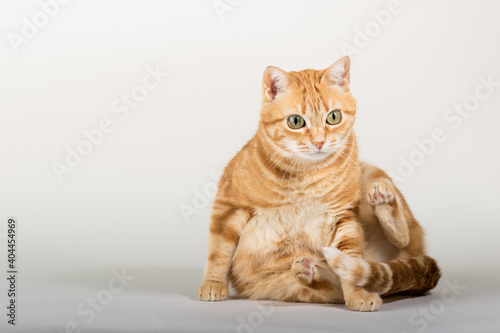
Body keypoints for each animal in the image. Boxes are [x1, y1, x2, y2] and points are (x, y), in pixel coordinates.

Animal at [197, 55, 440, 310]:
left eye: (334, 117)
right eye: (295, 121)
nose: (319, 141)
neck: (305, 178)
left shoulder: (342, 216)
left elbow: (351, 260)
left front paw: (359, 295)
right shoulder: (229, 206)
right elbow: (218, 252)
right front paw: (213, 284)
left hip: (370, 174)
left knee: (402, 237)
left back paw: (382, 201)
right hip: (285, 287)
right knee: (327, 287)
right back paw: (308, 271)